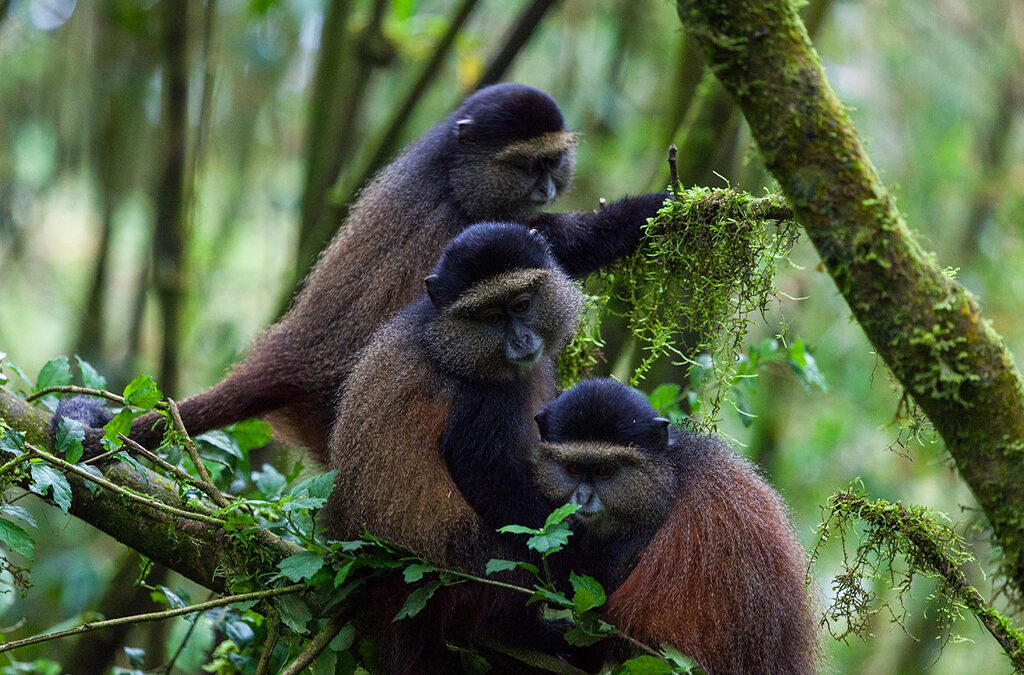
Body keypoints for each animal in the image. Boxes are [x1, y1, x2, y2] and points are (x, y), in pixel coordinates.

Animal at [66, 83, 667, 461]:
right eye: (526, 164)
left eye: (552, 162)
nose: (544, 187)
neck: (450, 172)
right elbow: (556, 245)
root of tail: (292, 354)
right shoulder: (468, 226)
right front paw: (663, 208)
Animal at [322, 221, 585, 674]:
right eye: (492, 318)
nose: (522, 340)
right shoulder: (480, 400)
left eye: (522, 304)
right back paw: (525, 632)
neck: (448, 339)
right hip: (462, 573)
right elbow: (485, 472)